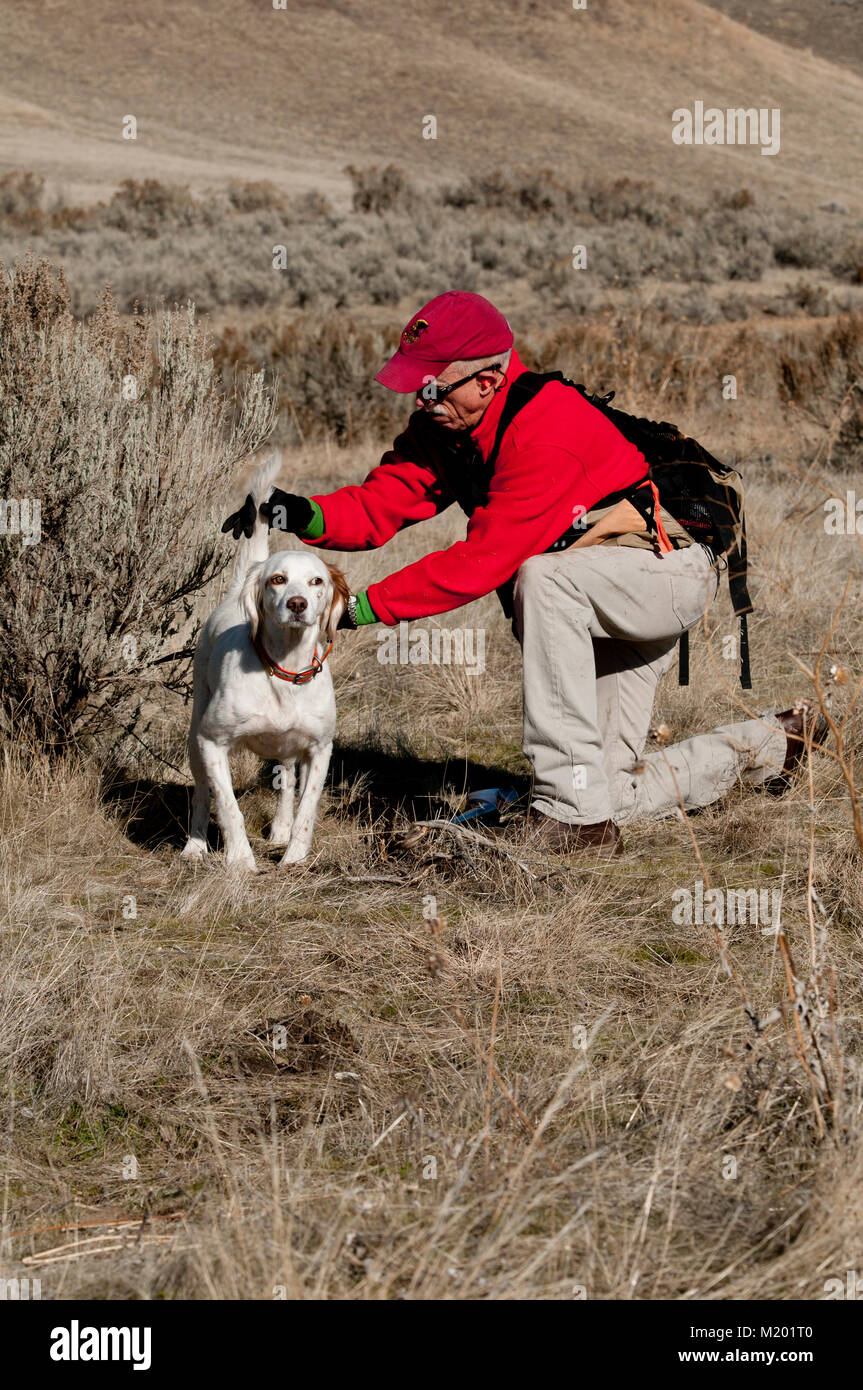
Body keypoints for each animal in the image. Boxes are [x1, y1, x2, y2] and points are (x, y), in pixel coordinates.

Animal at [180, 455, 348, 867]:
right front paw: (240, 861)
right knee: (201, 793)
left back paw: (280, 831)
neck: (284, 670)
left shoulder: (319, 748)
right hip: (195, 735)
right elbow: (227, 805)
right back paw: (195, 846)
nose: (297, 604)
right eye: (277, 579)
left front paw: (294, 857)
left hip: (288, 749)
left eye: (317, 581)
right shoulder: (212, 742)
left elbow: (306, 807)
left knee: (286, 785)